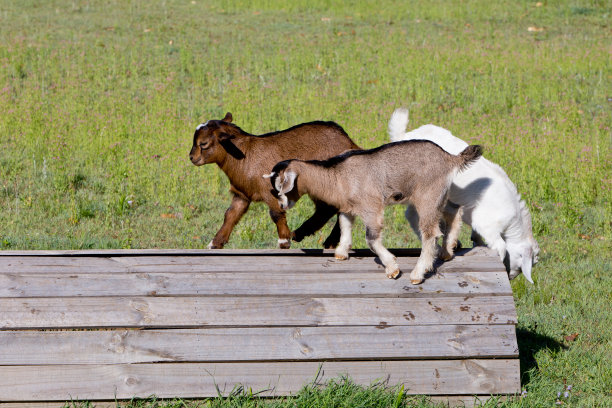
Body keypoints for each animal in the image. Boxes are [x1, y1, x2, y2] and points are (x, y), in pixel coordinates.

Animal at [189, 113, 360, 250]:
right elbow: (230, 215)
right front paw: (215, 243)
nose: (191, 157)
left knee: (329, 208)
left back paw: (304, 235)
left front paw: (284, 241)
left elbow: (276, 214)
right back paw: (323, 240)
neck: (245, 157)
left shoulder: (270, 191)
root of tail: (350, 143)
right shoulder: (242, 195)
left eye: (203, 143)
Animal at [388, 107, 540, 282]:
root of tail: (402, 136)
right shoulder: (487, 226)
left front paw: (475, 242)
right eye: (523, 267)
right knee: (413, 216)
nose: (510, 277)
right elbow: (501, 247)